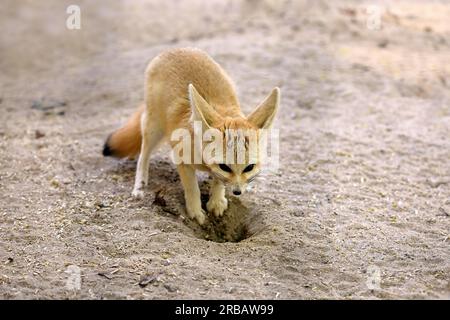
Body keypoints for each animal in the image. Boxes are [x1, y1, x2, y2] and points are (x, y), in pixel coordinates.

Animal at [103, 48, 280, 226]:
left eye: (249, 167)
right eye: (225, 166)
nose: (237, 192)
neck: (203, 160)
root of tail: (175, 50)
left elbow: (218, 181)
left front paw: (216, 201)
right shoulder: (181, 159)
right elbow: (192, 187)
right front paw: (195, 211)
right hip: (154, 128)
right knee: (143, 155)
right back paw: (140, 186)